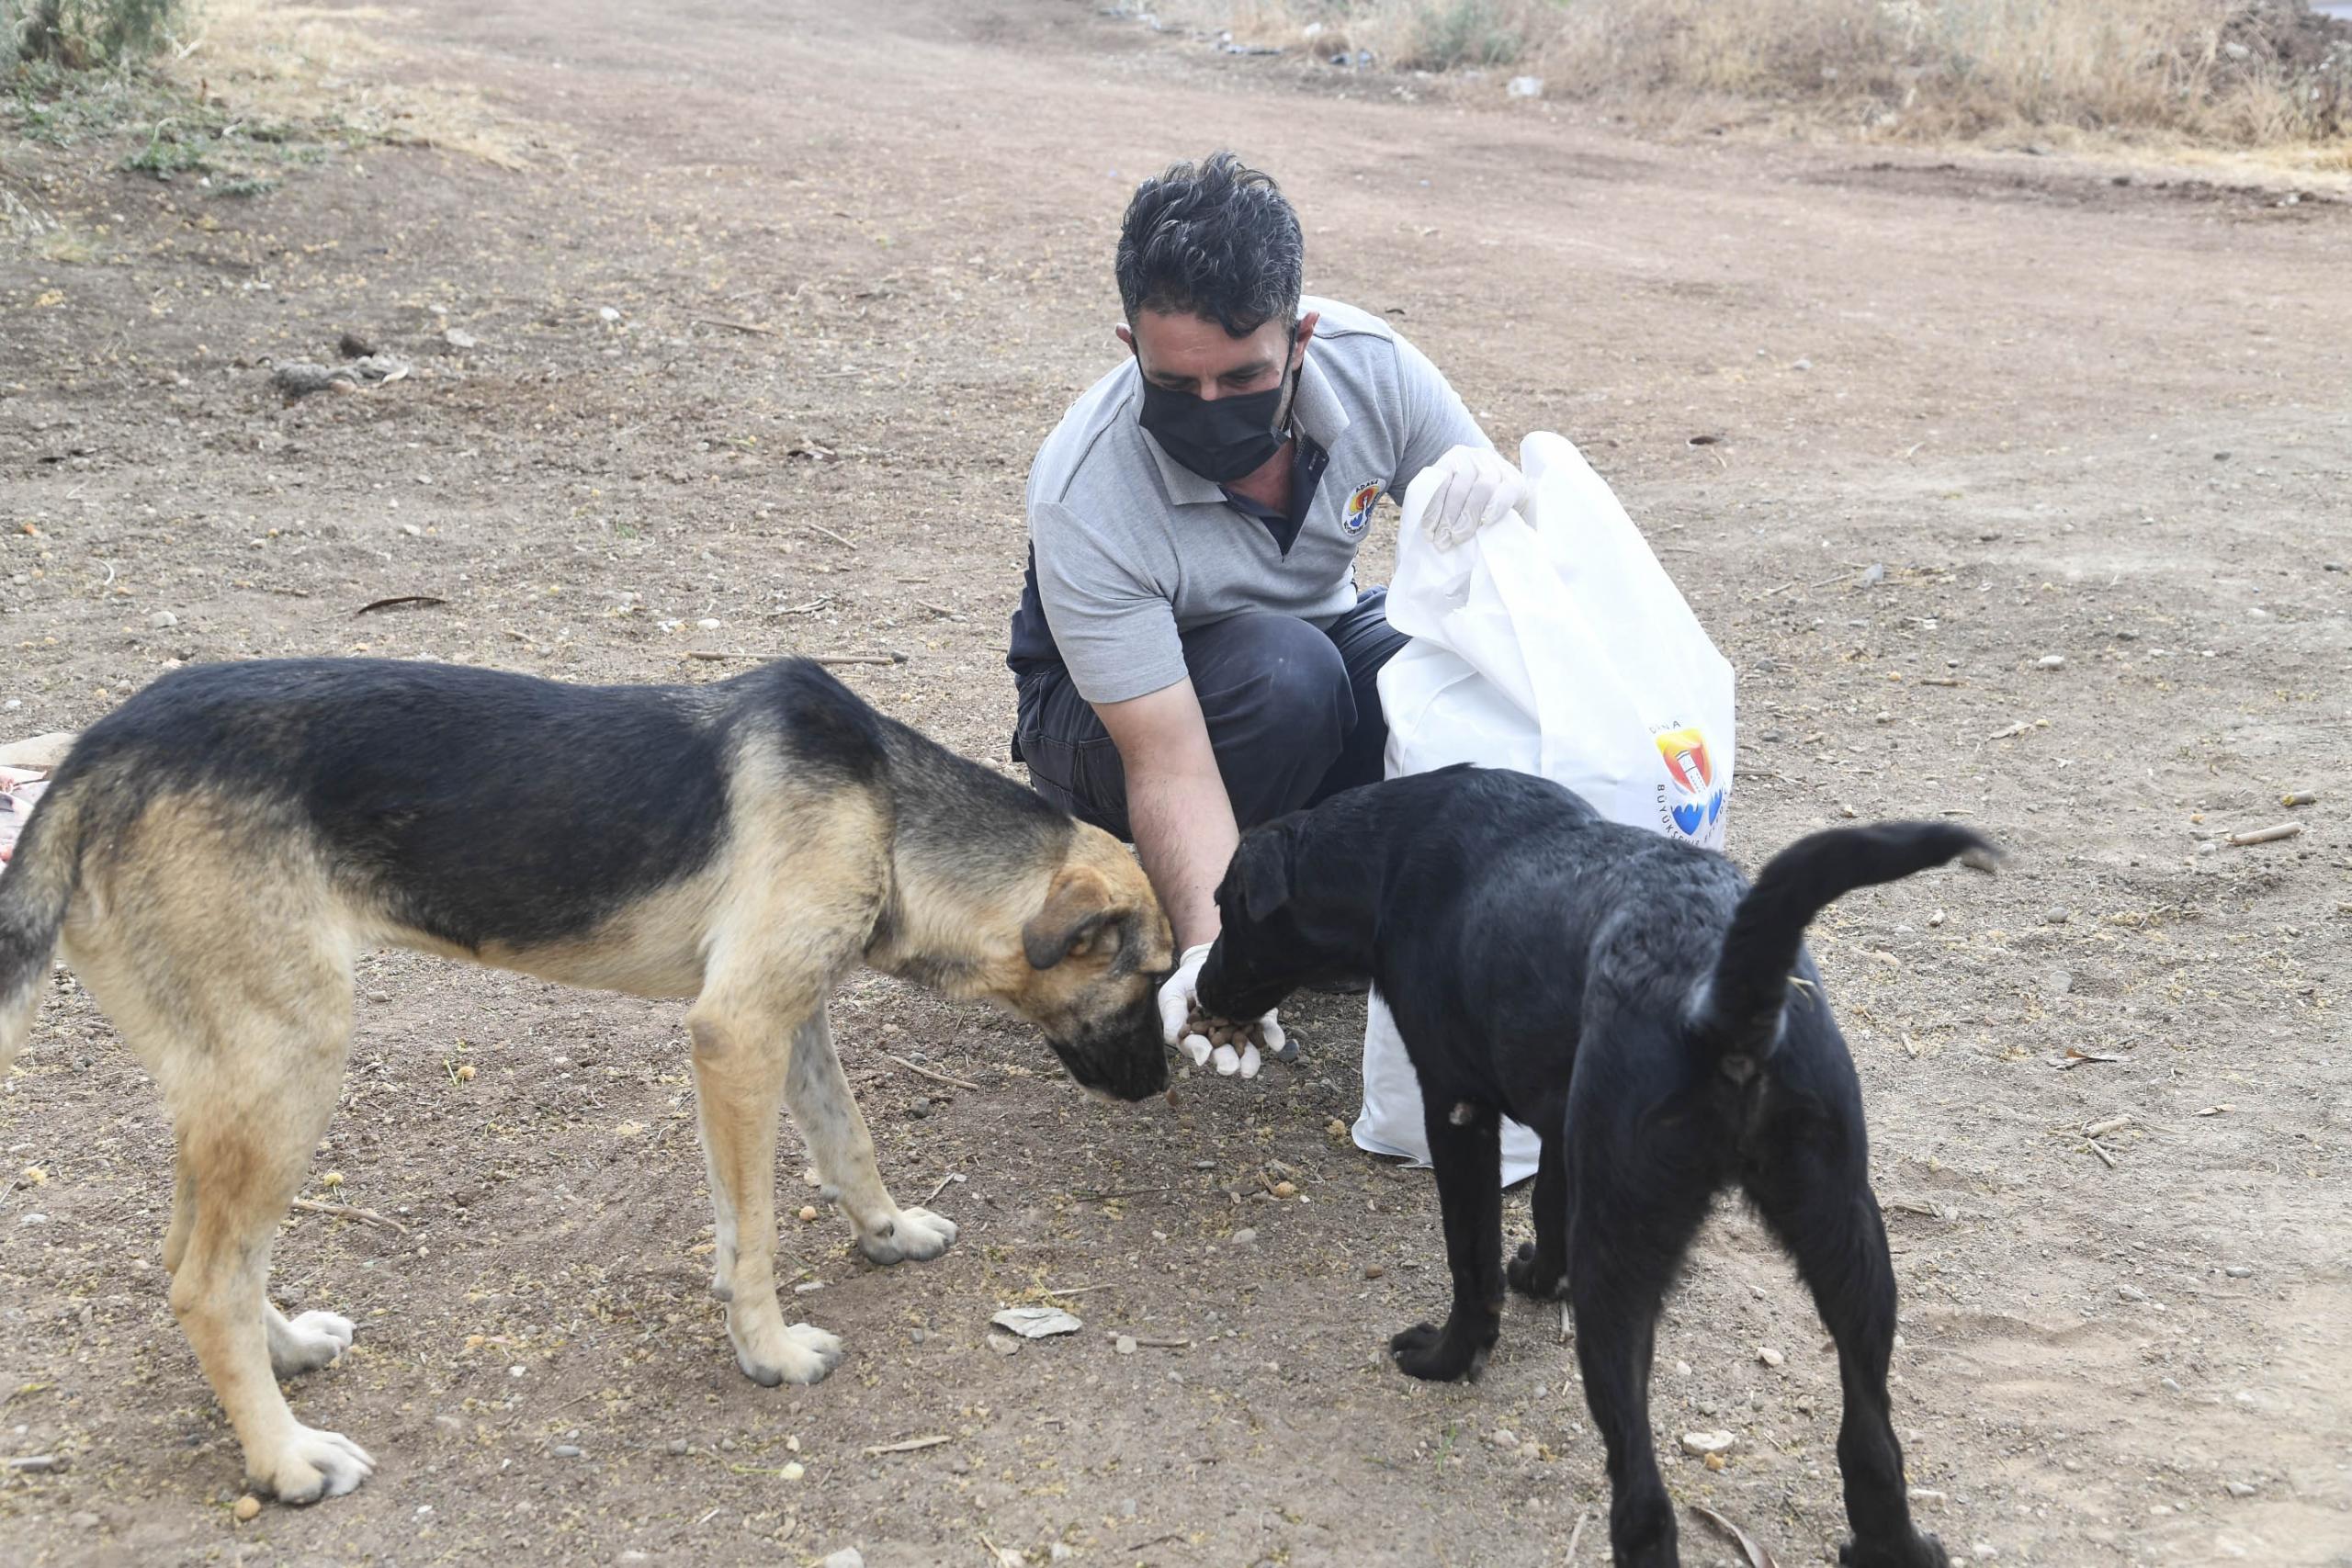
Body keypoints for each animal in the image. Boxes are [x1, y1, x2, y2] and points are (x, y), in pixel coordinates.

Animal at [0, 653, 1176, 1504]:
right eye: (1151, 976)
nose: (1162, 1091)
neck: (887, 810)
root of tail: (97, 752)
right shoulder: (737, 1033)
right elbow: (757, 1231)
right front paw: (768, 1351)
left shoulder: (787, 1023)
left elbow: (844, 1143)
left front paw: (883, 1233)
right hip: (290, 1060)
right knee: (208, 1281)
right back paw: (285, 1461)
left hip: (227, 1080)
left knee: (196, 1261)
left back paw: (284, 1351)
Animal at [1204, 771, 1975, 1568]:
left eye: (1226, 906)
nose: (1199, 986)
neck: (1390, 856)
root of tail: (1726, 994)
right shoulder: (1561, 1112)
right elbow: (1547, 1201)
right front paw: (1544, 1277)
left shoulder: (1458, 1110)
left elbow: (1471, 1262)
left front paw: (1449, 1353)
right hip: (1851, 1243)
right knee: (1872, 1442)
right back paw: (1894, 1543)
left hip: (1622, 1273)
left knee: (1643, 1499)